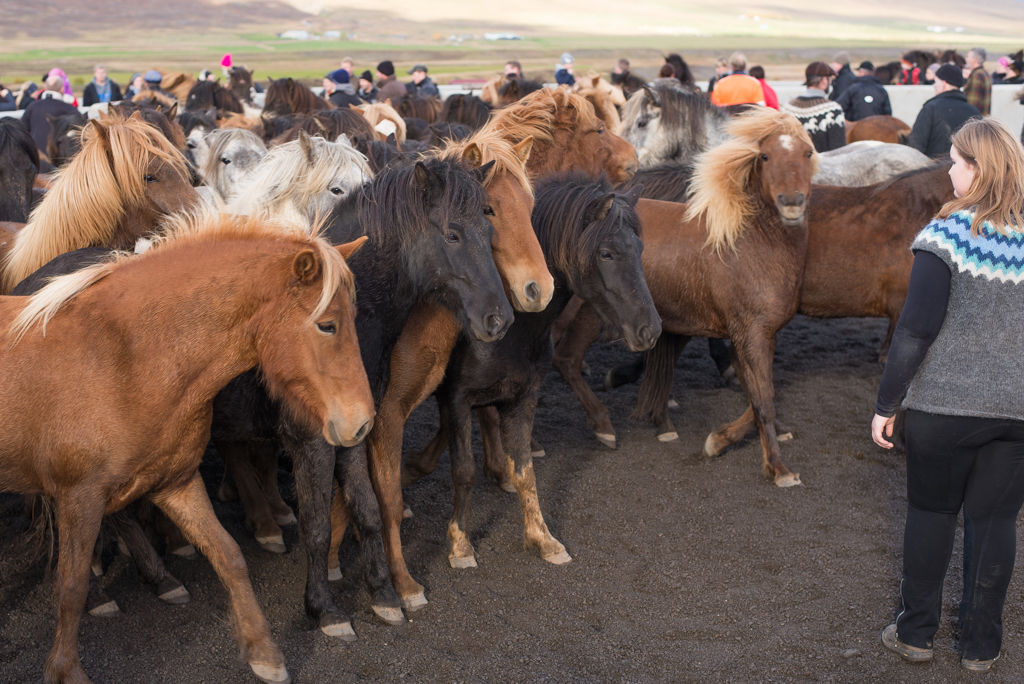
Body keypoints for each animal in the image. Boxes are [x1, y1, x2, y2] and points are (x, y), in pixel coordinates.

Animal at [0, 209, 372, 684]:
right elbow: (71, 584)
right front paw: (66, 670)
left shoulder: (175, 483)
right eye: (327, 325)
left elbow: (229, 555)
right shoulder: (78, 498)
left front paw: (264, 652)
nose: (363, 422)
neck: (124, 360)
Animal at [552, 108, 815, 485]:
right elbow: (763, 398)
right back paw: (601, 428)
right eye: (765, 156)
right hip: (590, 314)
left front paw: (736, 437)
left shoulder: (761, 334)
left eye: (808, 153)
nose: (791, 203)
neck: (748, 242)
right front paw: (777, 467)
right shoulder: (749, 333)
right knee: (566, 359)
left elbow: (759, 392)